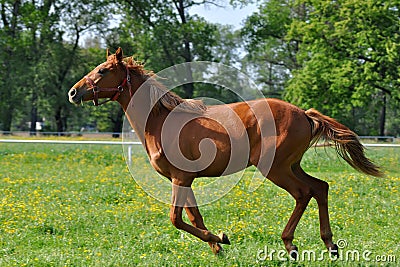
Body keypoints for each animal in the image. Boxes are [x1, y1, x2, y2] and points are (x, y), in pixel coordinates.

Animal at [68, 48, 382, 260]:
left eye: (103, 70)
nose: (73, 92)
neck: (160, 120)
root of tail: (304, 114)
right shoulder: (184, 179)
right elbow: (193, 216)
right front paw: (217, 246)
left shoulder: (180, 178)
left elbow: (176, 218)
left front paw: (221, 237)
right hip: (292, 165)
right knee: (320, 188)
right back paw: (330, 245)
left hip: (276, 168)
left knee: (303, 193)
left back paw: (291, 244)